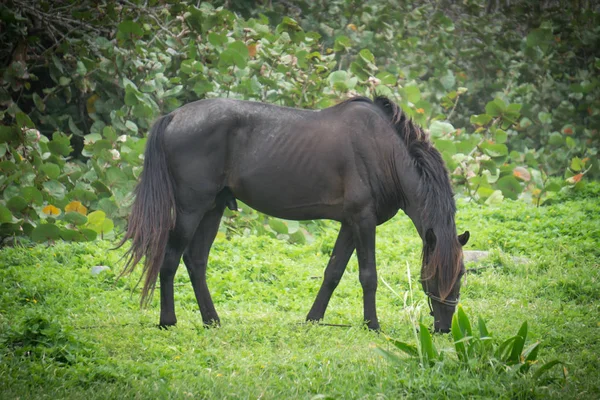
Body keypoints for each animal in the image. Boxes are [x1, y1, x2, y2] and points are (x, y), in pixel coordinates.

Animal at [117, 97, 472, 334]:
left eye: (461, 274)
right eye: (435, 274)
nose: (444, 327)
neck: (384, 151)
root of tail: (174, 116)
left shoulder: (349, 223)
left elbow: (333, 273)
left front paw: (314, 318)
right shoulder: (363, 220)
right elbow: (367, 275)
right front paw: (372, 325)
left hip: (213, 208)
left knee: (195, 261)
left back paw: (212, 320)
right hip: (192, 208)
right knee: (169, 260)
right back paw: (168, 321)